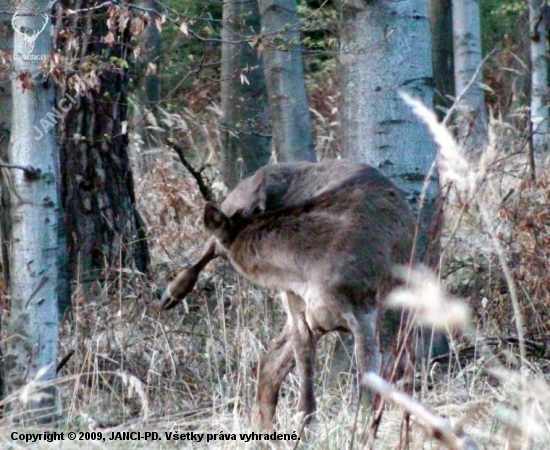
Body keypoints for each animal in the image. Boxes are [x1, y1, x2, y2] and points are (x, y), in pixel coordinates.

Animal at [162, 161, 420, 428]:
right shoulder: (302, 318)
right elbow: (306, 404)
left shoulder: (366, 313)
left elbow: (371, 395)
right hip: (239, 204)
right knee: (210, 245)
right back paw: (172, 294)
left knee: (268, 363)